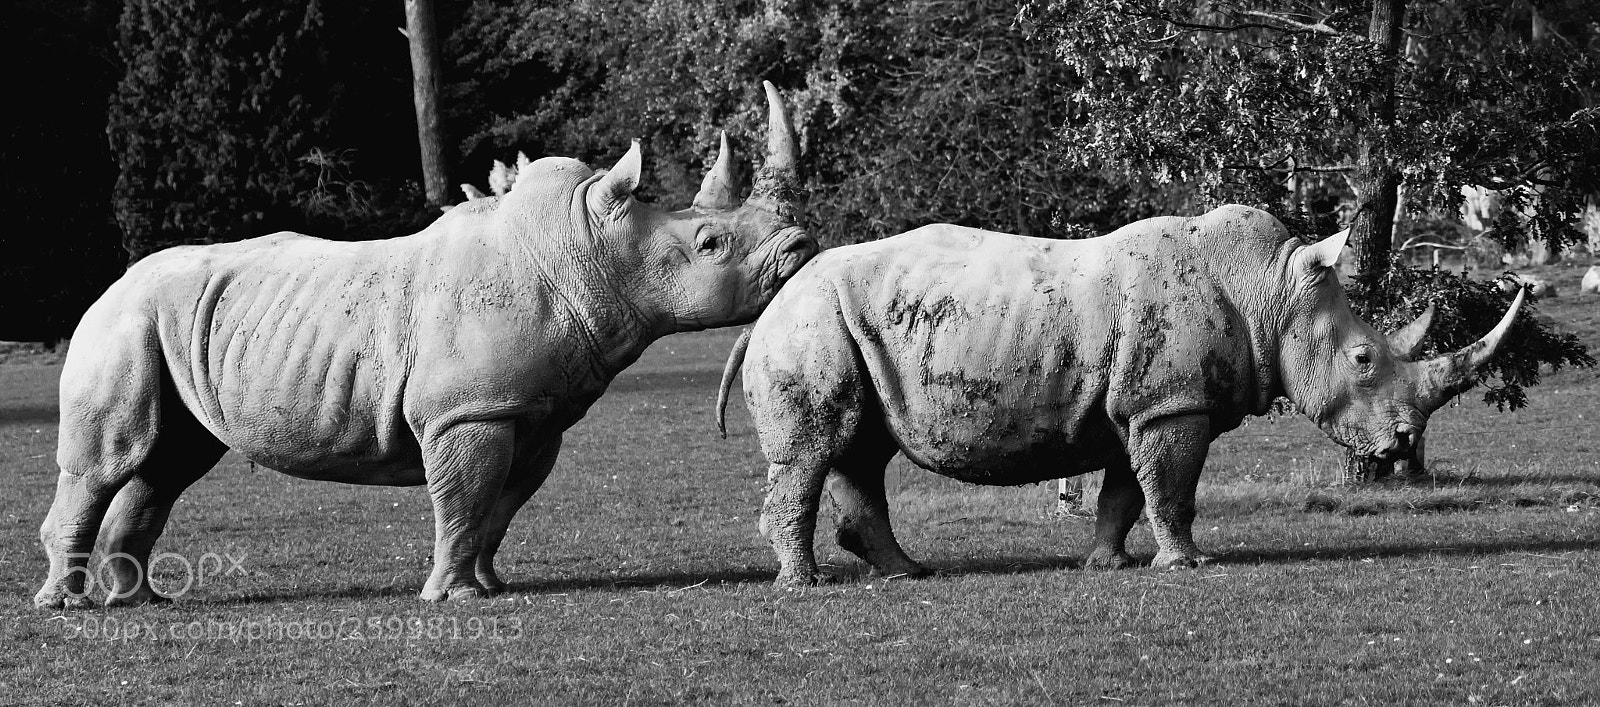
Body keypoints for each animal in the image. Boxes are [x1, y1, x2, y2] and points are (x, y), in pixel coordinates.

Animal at [35, 82, 817, 609]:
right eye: (710, 244)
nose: (802, 248)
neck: (588, 247)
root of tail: (111, 284)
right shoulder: (468, 409)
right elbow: (464, 499)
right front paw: (450, 598)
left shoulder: (528, 410)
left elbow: (499, 507)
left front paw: (488, 585)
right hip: (122, 323)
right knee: (109, 461)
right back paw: (66, 605)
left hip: (171, 323)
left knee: (167, 464)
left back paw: (140, 602)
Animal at [715, 206, 1524, 586]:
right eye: (1362, 358)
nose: (1401, 443)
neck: (1271, 289)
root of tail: (769, 305)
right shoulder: (1173, 403)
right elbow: (1172, 488)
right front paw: (1189, 564)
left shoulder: (1143, 404)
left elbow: (1125, 491)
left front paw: (1107, 565)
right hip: (812, 323)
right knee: (818, 448)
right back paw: (807, 585)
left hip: (845, 322)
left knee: (860, 449)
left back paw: (906, 572)